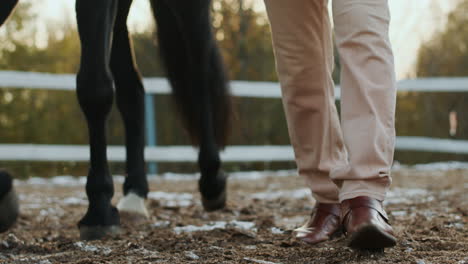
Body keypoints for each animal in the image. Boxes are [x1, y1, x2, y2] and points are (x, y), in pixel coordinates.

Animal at [0, 0, 231, 240]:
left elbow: (94, 89)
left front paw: (99, 210)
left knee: (198, 74)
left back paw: (212, 181)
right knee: (132, 88)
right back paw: (134, 197)